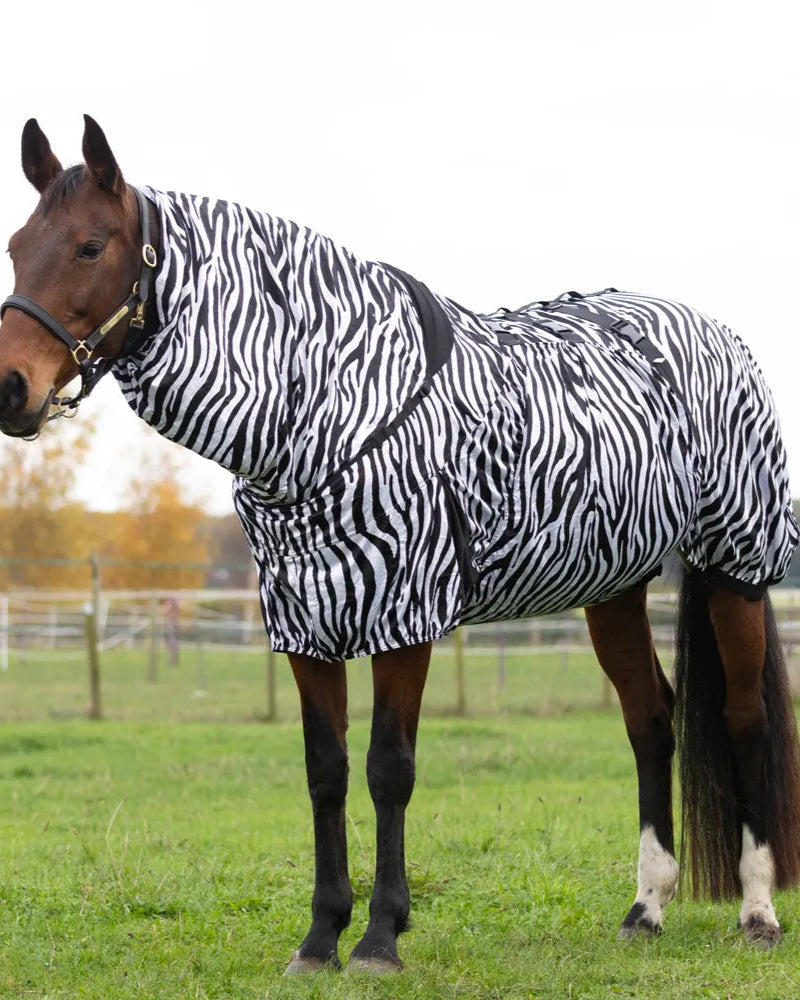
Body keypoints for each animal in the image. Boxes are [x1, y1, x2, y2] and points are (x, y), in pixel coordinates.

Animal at [1, 115, 799, 974]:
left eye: (89, 246)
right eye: (16, 246)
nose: (10, 387)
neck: (332, 404)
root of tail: (717, 336)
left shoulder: (403, 613)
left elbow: (389, 768)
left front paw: (381, 934)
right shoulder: (306, 619)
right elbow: (325, 772)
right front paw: (321, 935)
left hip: (734, 567)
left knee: (746, 717)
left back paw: (757, 909)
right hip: (613, 586)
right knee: (650, 719)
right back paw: (646, 907)